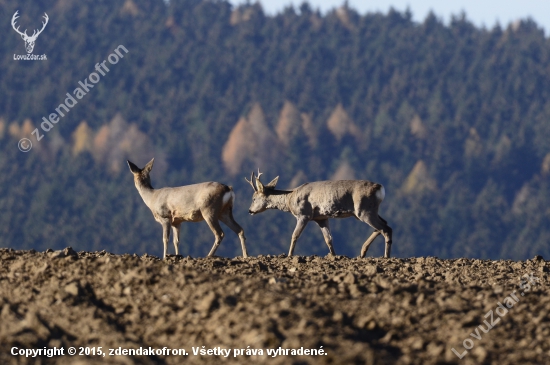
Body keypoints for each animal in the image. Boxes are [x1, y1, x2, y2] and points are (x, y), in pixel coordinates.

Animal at [246, 170, 392, 256]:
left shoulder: (304, 214)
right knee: (384, 225)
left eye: (253, 198)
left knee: (386, 228)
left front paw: (289, 256)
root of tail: (380, 188)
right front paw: (334, 257)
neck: (290, 199)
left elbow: (294, 235)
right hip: (366, 211)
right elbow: (328, 239)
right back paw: (362, 252)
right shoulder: (321, 218)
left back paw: (385, 257)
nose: (249, 211)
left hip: (364, 210)